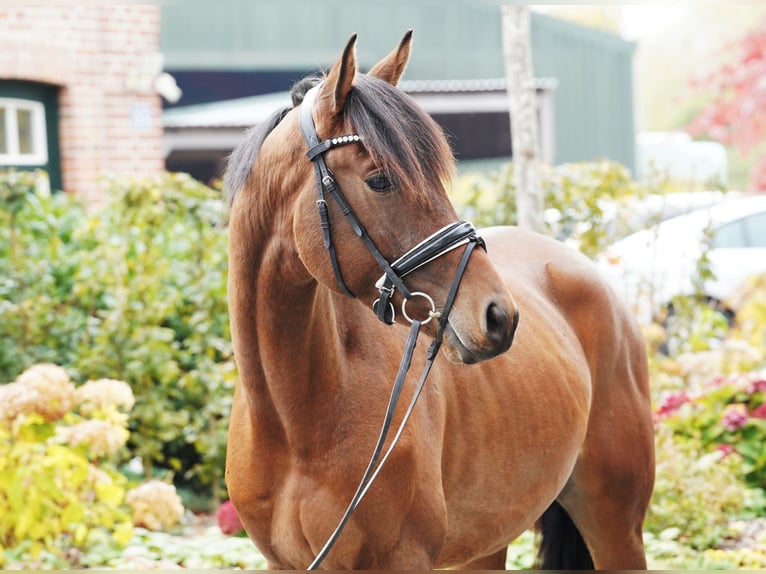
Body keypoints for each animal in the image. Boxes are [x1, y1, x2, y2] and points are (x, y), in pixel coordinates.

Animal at [224, 31, 656, 572]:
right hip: (488, 543)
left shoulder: (402, 559)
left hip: (617, 527)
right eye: (380, 179)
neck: (296, 424)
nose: (499, 316)